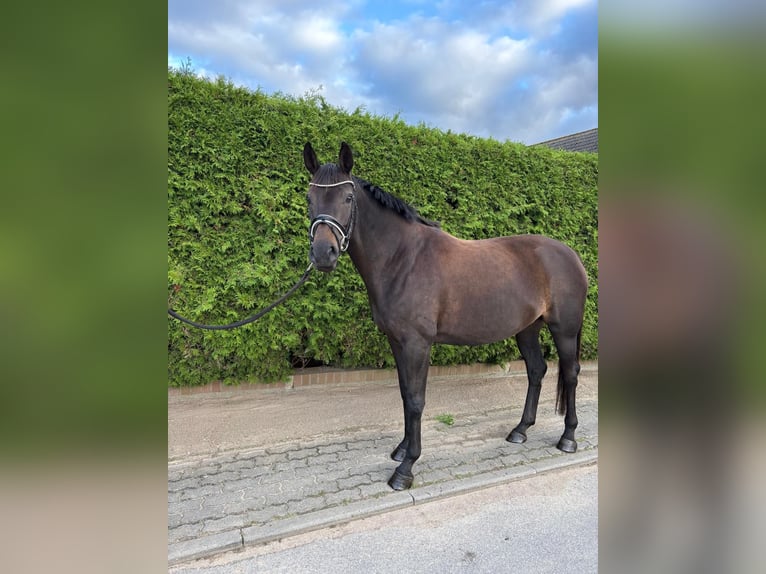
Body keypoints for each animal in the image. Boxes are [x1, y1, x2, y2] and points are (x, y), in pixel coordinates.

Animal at [303, 142, 588, 490]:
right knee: (536, 370)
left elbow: (416, 399)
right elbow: (405, 394)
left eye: (347, 198)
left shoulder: (417, 344)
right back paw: (520, 430)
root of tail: (571, 254)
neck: (403, 258)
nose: (323, 254)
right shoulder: (397, 342)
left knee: (570, 374)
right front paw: (402, 450)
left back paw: (568, 438)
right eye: (309, 198)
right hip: (527, 329)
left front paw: (406, 469)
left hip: (565, 330)